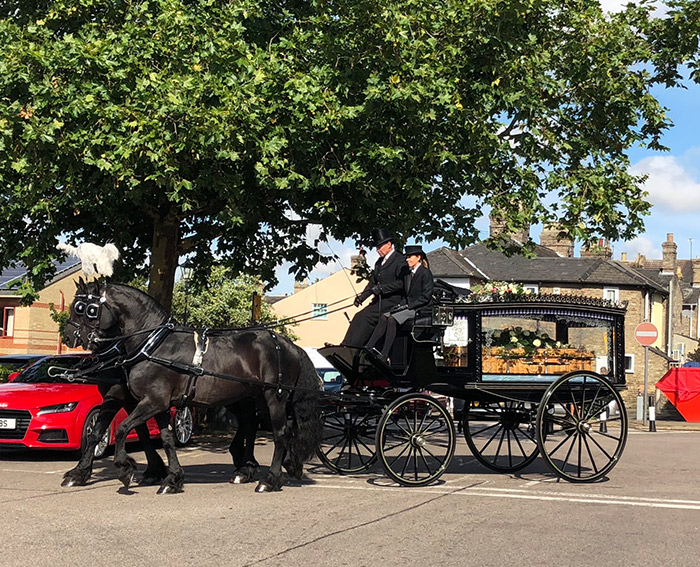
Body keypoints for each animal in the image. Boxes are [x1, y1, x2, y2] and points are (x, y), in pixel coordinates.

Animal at [63, 280, 322, 492]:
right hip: (252, 397)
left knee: (280, 433)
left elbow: (122, 429)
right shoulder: (158, 404)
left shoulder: (149, 401)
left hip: (274, 396)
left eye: (88, 309)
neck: (154, 344)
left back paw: (270, 479)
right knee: (254, 425)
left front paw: (125, 468)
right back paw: (253, 468)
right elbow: (165, 438)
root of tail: (288, 345)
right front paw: (171, 478)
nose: (69, 337)